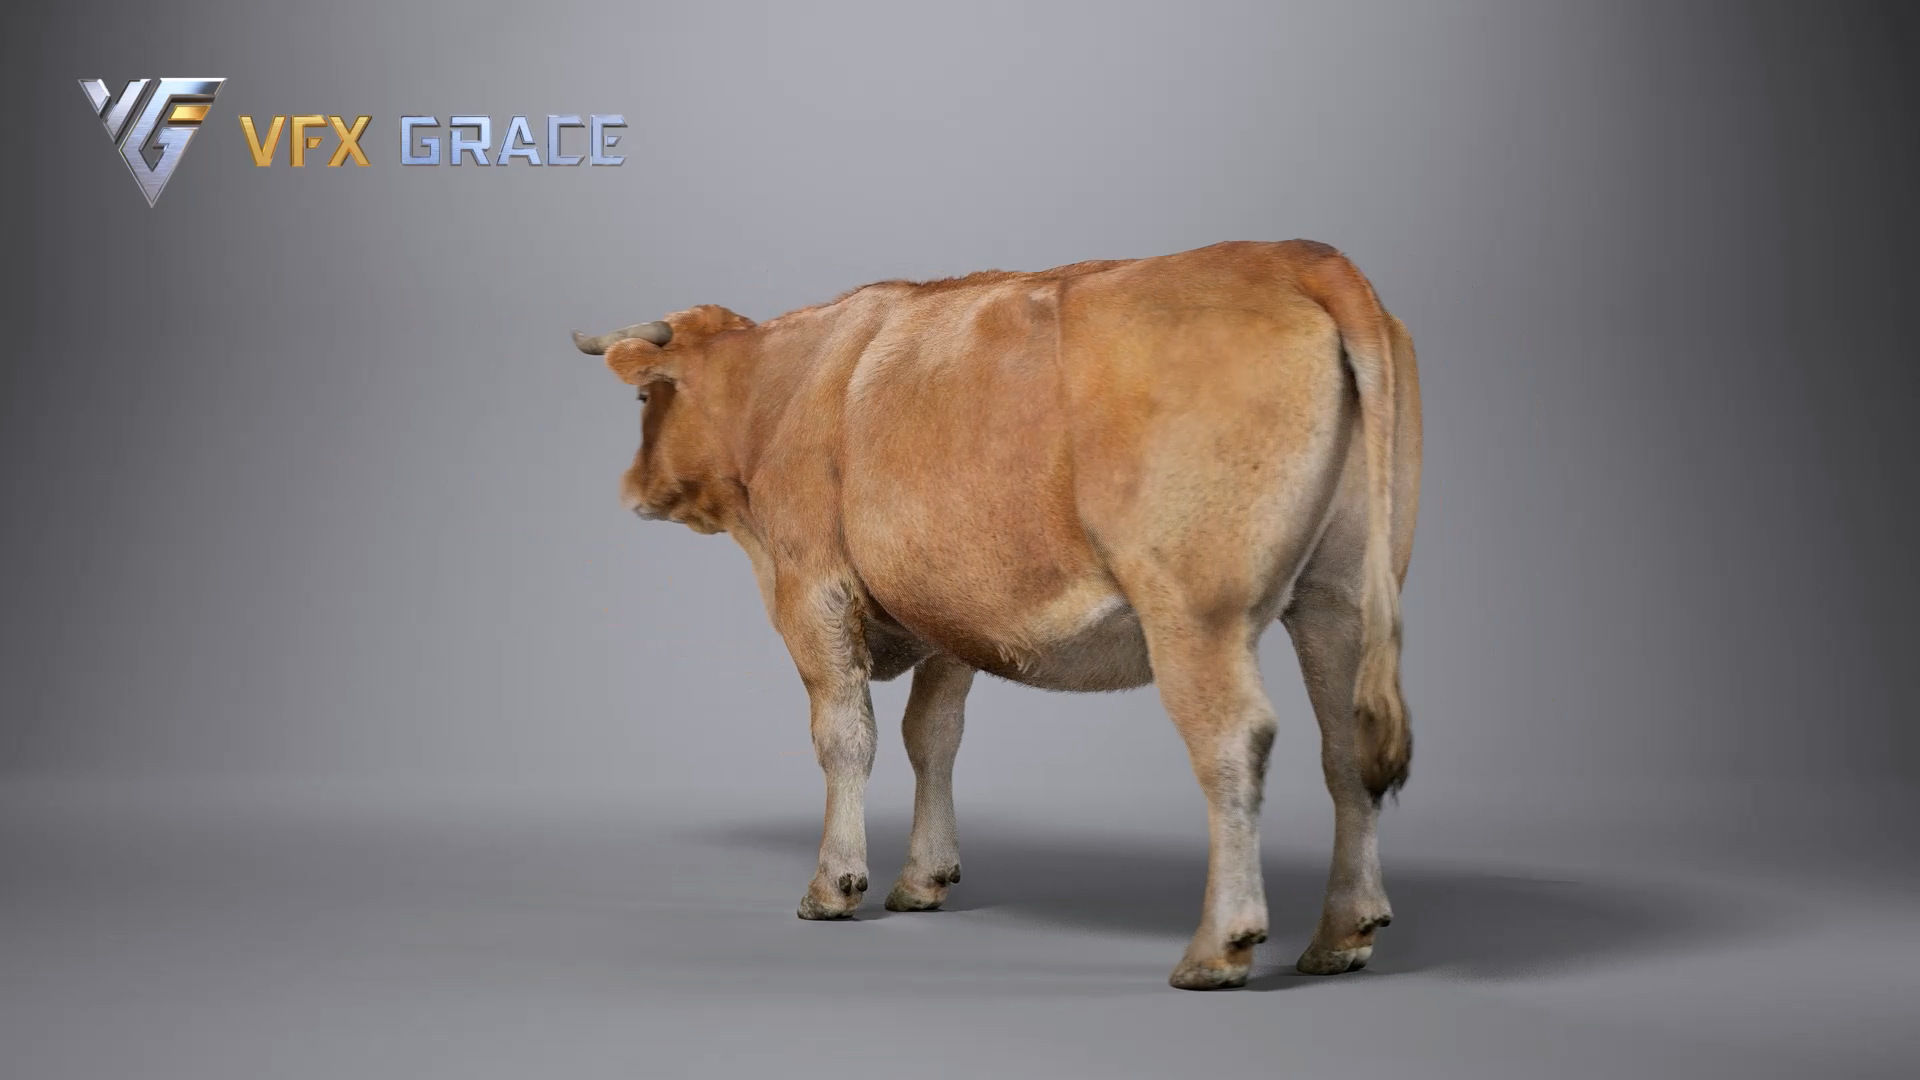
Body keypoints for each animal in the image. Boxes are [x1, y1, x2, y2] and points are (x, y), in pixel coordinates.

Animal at [571, 239, 1421, 989]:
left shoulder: (812, 590)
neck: (780, 385)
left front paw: (834, 885)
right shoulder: (948, 609)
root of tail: (1295, 255)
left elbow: (846, 737)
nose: (630, 487)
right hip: (1340, 598)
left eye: (646, 396)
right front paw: (925, 876)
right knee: (1344, 747)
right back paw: (1343, 934)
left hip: (1196, 610)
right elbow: (933, 737)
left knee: (1234, 743)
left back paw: (1219, 948)